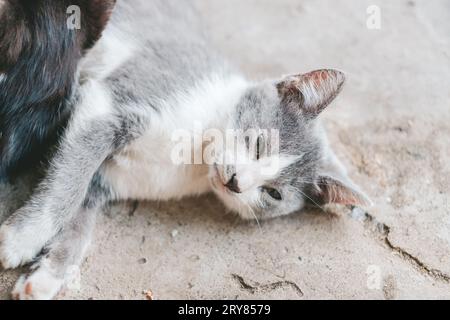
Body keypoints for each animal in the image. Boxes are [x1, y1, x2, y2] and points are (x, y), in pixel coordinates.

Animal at [0, 0, 370, 300]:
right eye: (259, 143)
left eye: (274, 194)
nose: (236, 181)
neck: (193, 158)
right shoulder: (110, 103)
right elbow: (69, 183)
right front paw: (19, 239)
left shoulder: (108, 179)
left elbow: (81, 216)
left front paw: (46, 277)